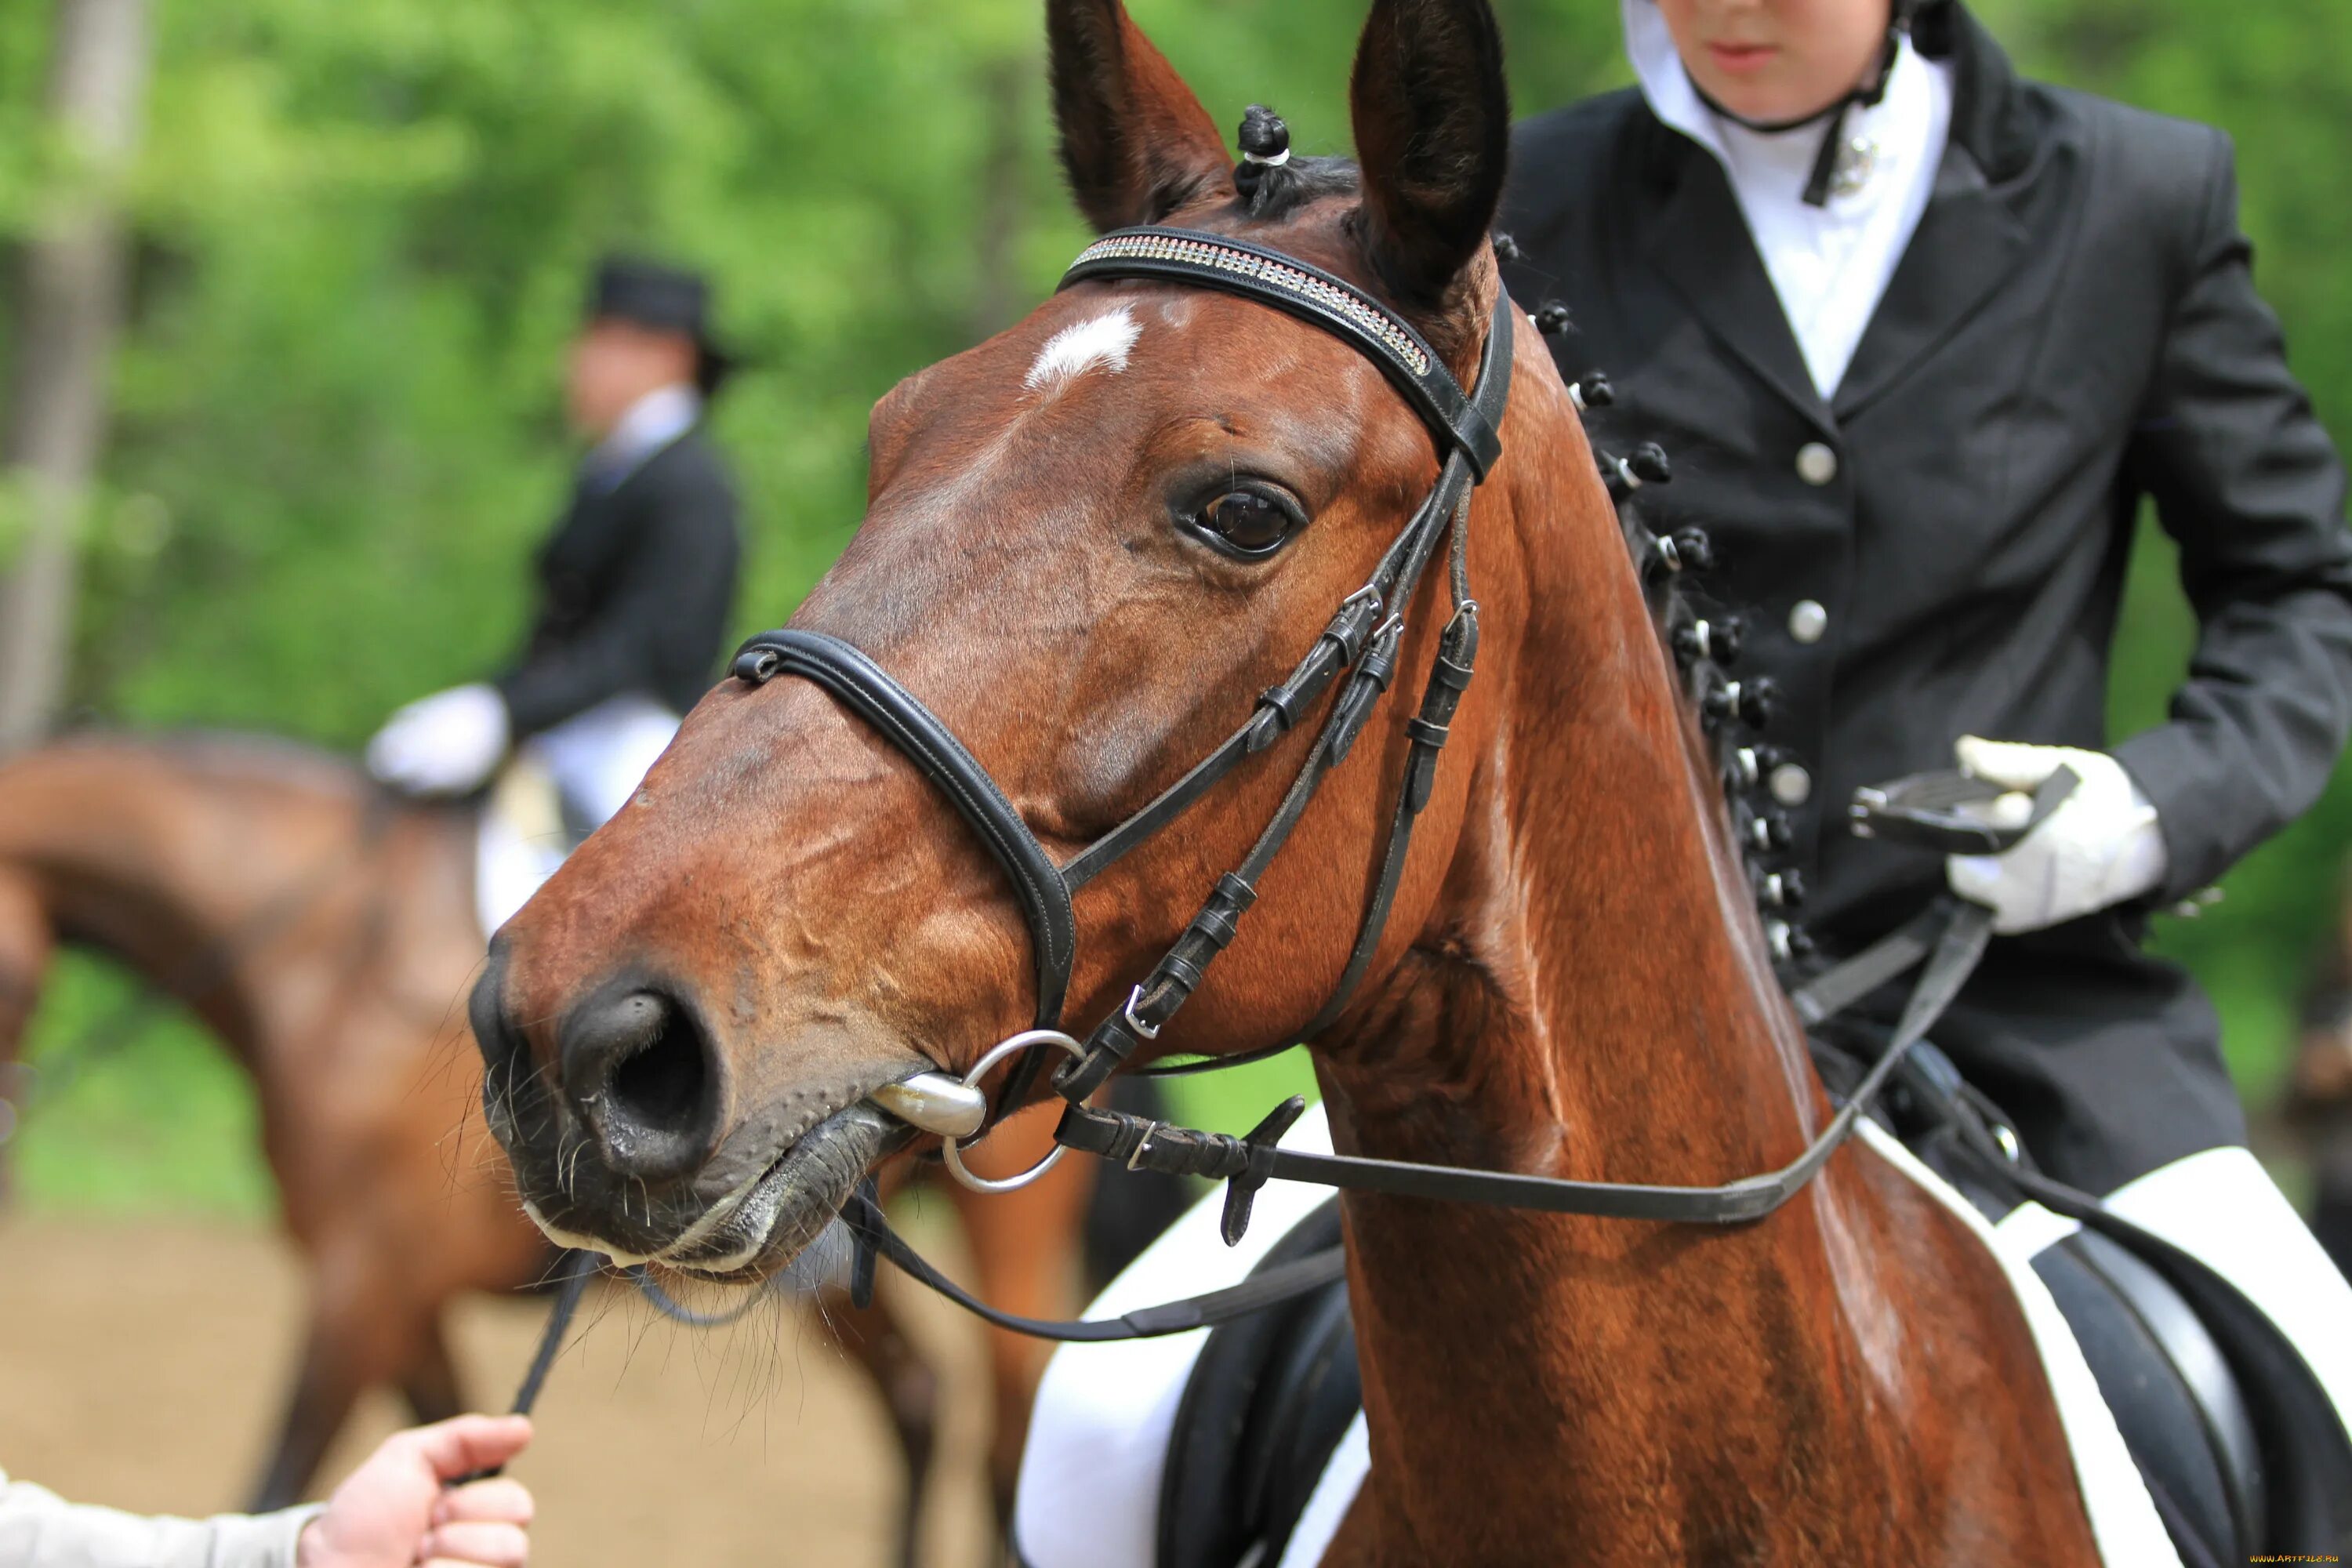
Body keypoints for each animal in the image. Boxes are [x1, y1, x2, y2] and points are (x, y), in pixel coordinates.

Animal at [0, 733, 1124, 1561]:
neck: (332, 962)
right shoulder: (399, 1296)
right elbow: (454, 1452)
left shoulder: (364, 1284)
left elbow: (276, 1475)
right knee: (919, 1405)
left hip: (1002, 1231)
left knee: (1002, 1439)